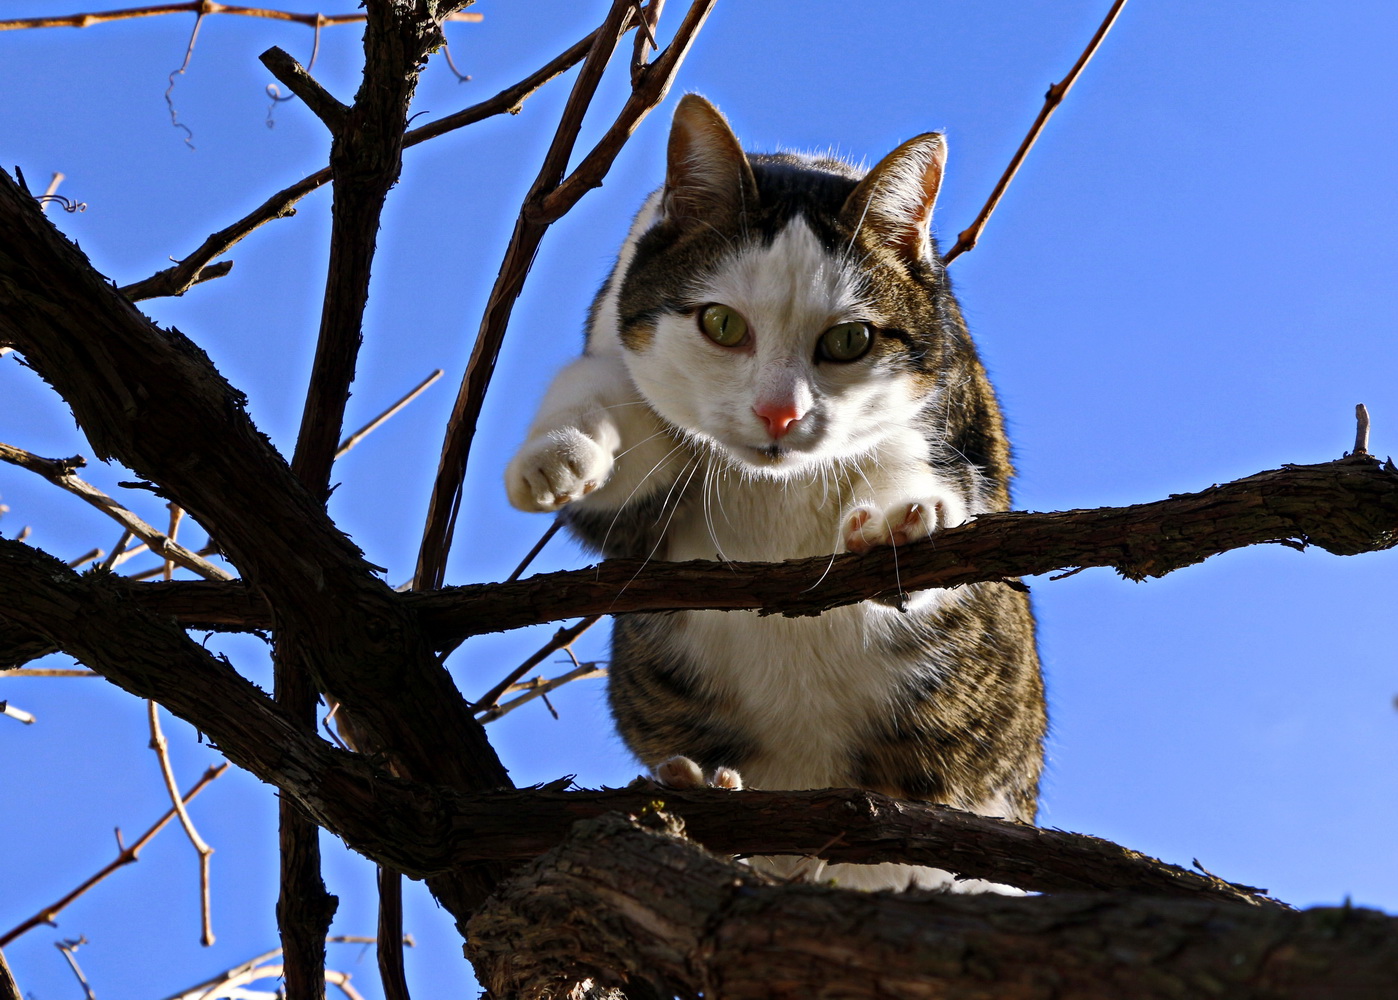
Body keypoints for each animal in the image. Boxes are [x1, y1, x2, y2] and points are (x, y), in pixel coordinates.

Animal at [508, 93, 1045, 889]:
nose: (779, 413)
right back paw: (702, 788)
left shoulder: (957, 423)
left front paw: (900, 518)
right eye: (721, 323)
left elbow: (920, 470)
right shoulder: (631, 460)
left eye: (850, 341)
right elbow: (601, 405)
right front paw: (557, 458)